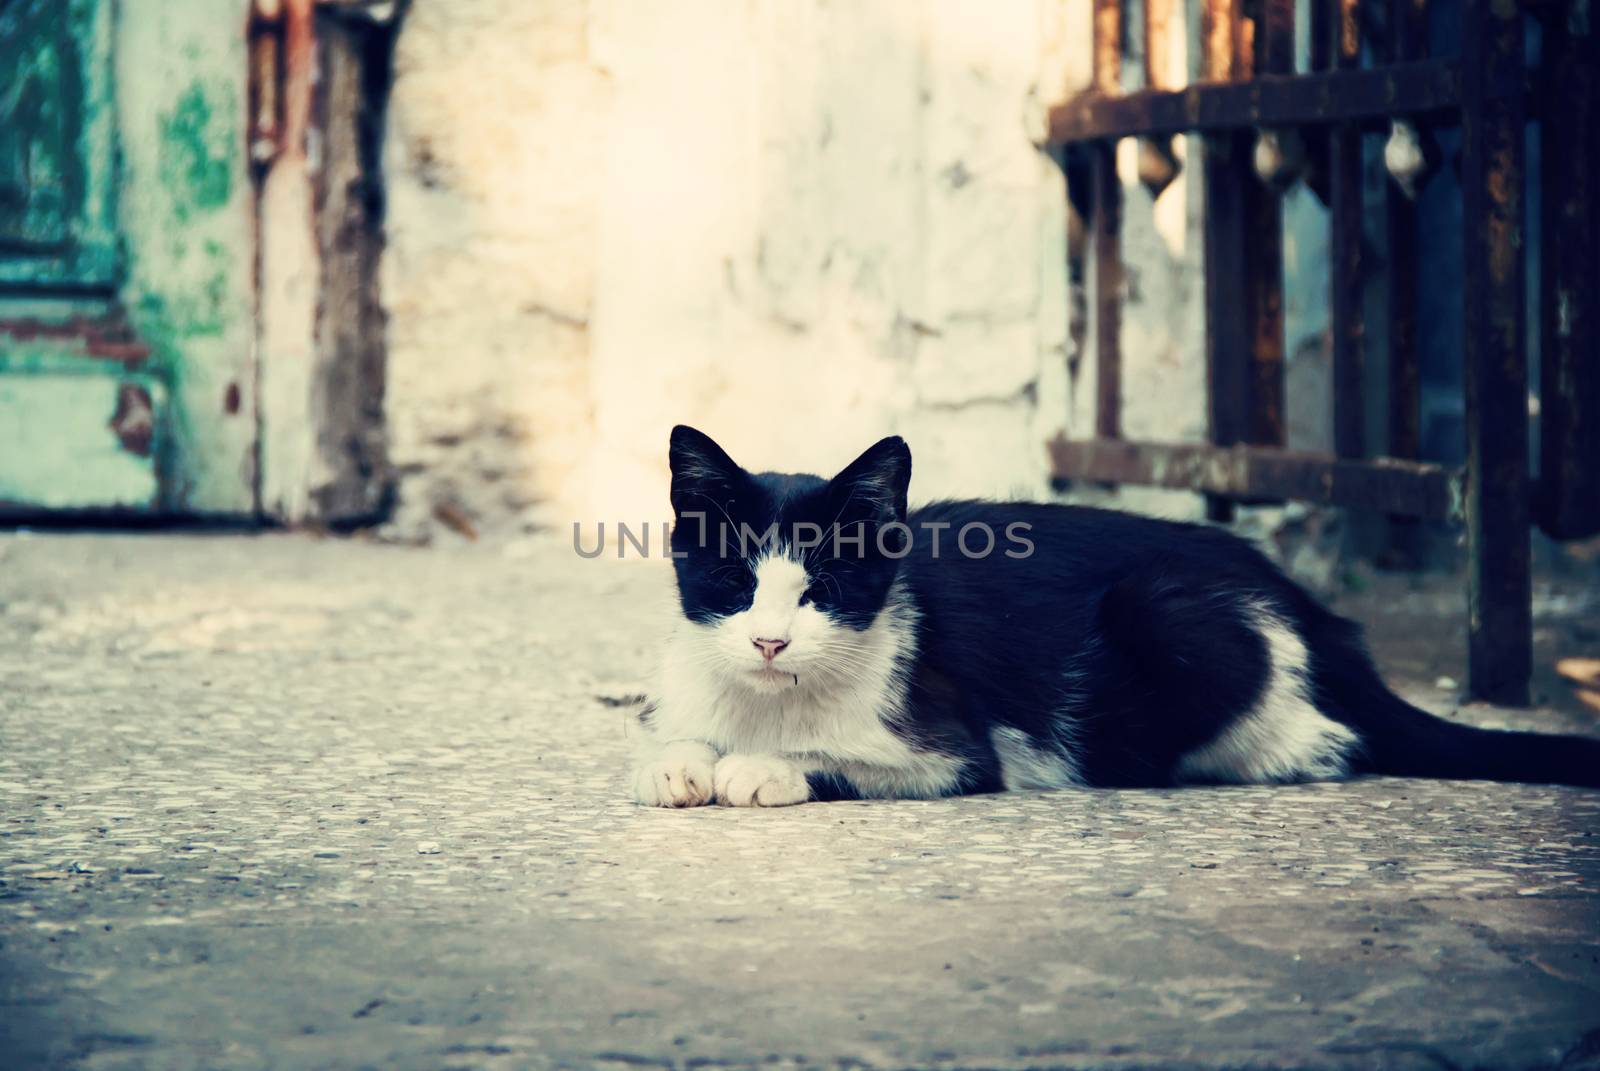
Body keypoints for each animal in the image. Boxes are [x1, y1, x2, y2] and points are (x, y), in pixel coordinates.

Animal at [630, 422, 1593, 800]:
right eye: (733, 584)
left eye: (823, 588)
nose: (768, 640)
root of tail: (1315, 612)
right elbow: (681, 738)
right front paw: (678, 761)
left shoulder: (953, 742)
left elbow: (847, 757)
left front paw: (763, 765)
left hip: (1164, 609)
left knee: (1327, 740)